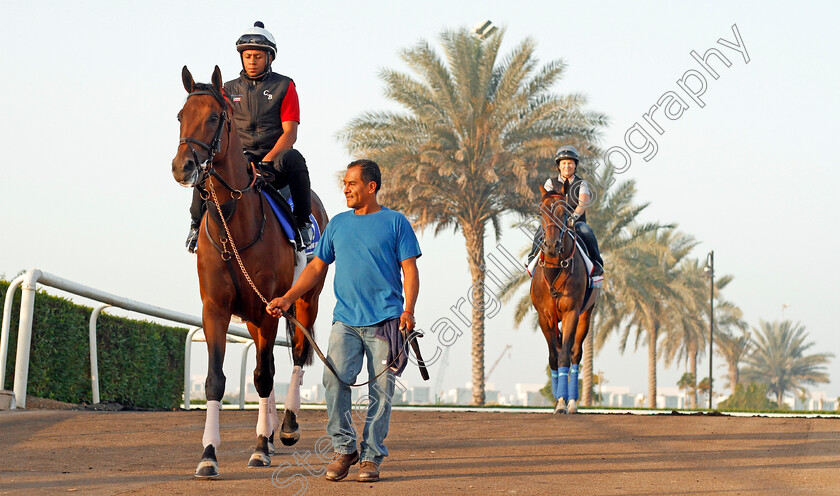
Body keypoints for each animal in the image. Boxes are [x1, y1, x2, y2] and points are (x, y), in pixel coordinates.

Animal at [171, 65, 328, 476]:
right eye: (180, 116)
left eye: (214, 117)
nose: (183, 167)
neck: (233, 225)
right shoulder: (216, 309)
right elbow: (215, 380)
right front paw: (209, 454)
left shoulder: (269, 306)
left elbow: (263, 375)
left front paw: (259, 447)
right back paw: (271, 433)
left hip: (305, 300)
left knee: (296, 356)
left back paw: (285, 427)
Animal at [532, 184, 596, 412]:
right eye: (541, 210)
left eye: (565, 211)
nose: (551, 246)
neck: (554, 270)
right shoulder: (545, 317)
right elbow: (554, 356)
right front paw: (557, 400)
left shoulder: (572, 313)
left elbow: (565, 356)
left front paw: (563, 402)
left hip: (586, 316)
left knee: (576, 353)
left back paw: (573, 401)